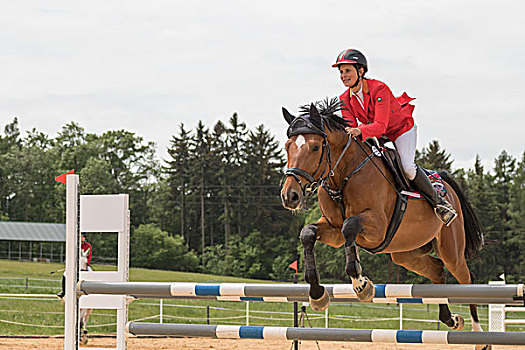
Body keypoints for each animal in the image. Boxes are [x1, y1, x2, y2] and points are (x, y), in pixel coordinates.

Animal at [280, 101, 486, 344]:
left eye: (314, 147)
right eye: (287, 146)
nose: (290, 196)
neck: (344, 175)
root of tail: (447, 185)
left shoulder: (376, 227)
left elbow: (349, 226)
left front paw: (361, 285)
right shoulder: (333, 230)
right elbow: (308, 233)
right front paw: (317, 295)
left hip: (451, 251)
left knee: (467, 278)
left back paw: (478, 334)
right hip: (405, 253)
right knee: (436, 270)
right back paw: (451, 319)